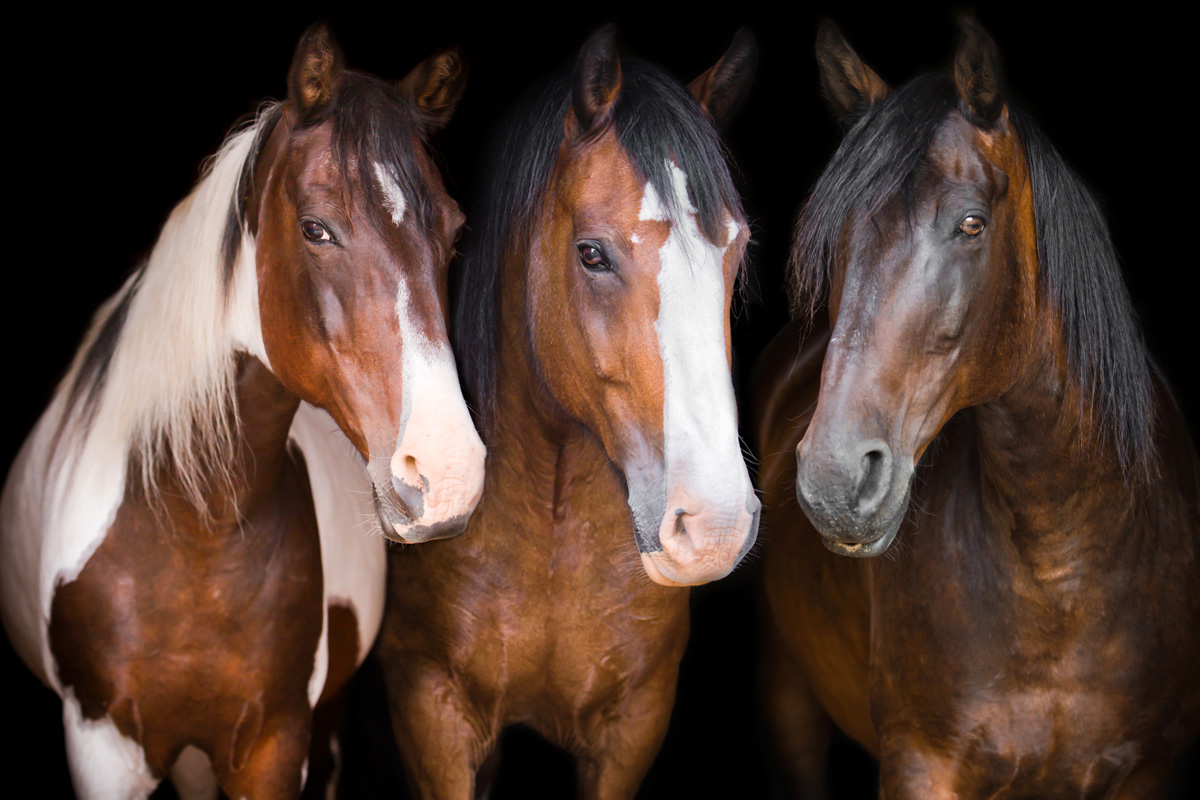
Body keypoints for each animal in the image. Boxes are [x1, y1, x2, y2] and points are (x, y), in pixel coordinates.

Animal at [1, 26, 487, 800]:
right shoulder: (102, 746)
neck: (194, 526)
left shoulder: (274, 739)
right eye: (317, 229)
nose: (448, 473)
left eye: (456, 231)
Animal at [758, 18, 1200, 800]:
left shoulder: (1146, 770)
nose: (834, 482)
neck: (1061, 569)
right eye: (837, 237)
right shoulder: (921, 764)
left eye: (970, 223)